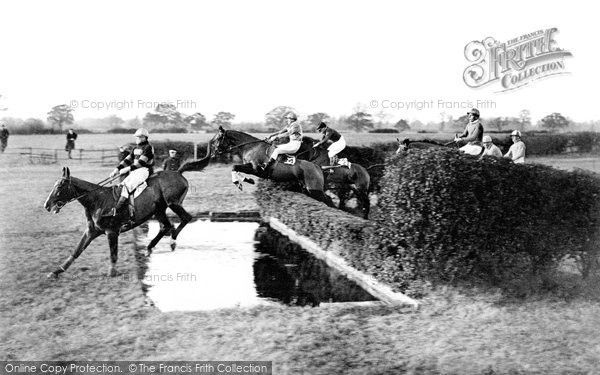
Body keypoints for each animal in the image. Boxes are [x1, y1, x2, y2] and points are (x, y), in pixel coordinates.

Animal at [42, 147, 211, 280]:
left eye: (60, 186)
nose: (47, 205)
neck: (98, 200)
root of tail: (178, 173)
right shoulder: (91, 232)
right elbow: (76, 251)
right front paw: (56, 271)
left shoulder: (112, 232)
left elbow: (113, 254)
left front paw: (112, 272)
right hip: (158, 210)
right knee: (166, 226)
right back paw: (150, 247)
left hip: (173, 203)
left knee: (185, 218)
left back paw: (172, 240)